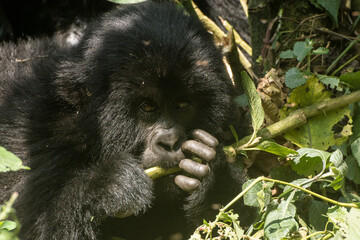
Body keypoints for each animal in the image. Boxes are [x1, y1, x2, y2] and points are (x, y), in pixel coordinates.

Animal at [0, 0, 248, 239]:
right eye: (147, 107)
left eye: (182, 105)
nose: (170, 142)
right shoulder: (32, 135)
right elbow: (23, 229)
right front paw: (105, 186)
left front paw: (213, 173)